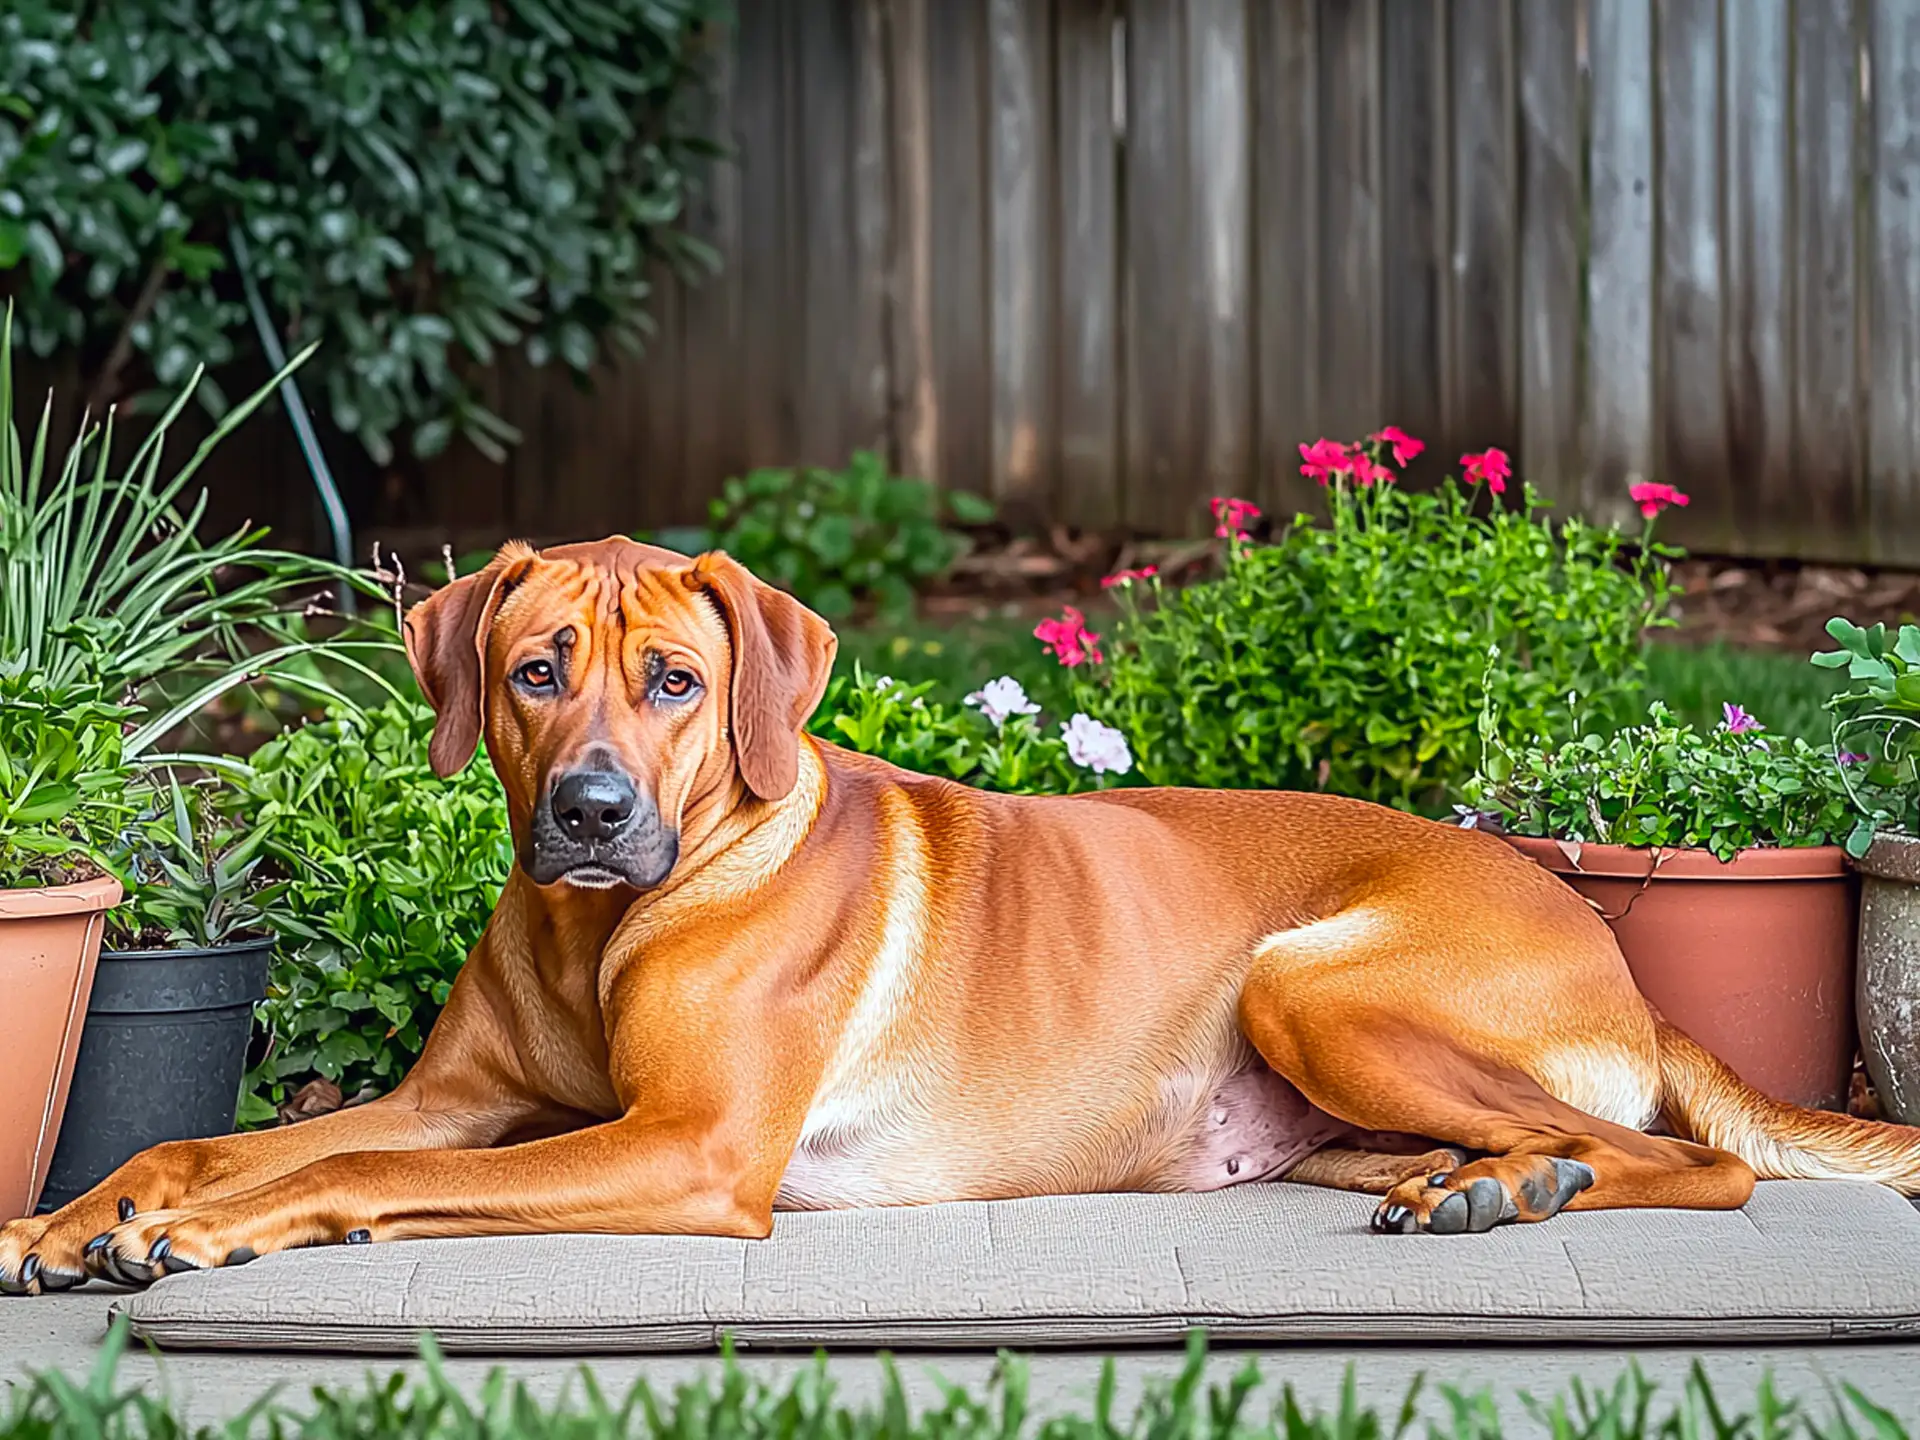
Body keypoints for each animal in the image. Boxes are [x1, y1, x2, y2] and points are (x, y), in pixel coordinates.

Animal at [3, 541, 1920, 1297]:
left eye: (676, 682)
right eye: (537, 672)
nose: (593, 814)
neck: (603, 923)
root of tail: (1608, 946)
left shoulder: (689, 1150)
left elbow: (340, 1172)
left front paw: (212, 1235)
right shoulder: (455, 1101)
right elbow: (215, 1140)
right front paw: (79, 1216)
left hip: (1315, 983)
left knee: (1694, 1159)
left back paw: (1521, 1186)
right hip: (1317, 1090)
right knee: (1519, 1145)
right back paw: (1479, 1183)